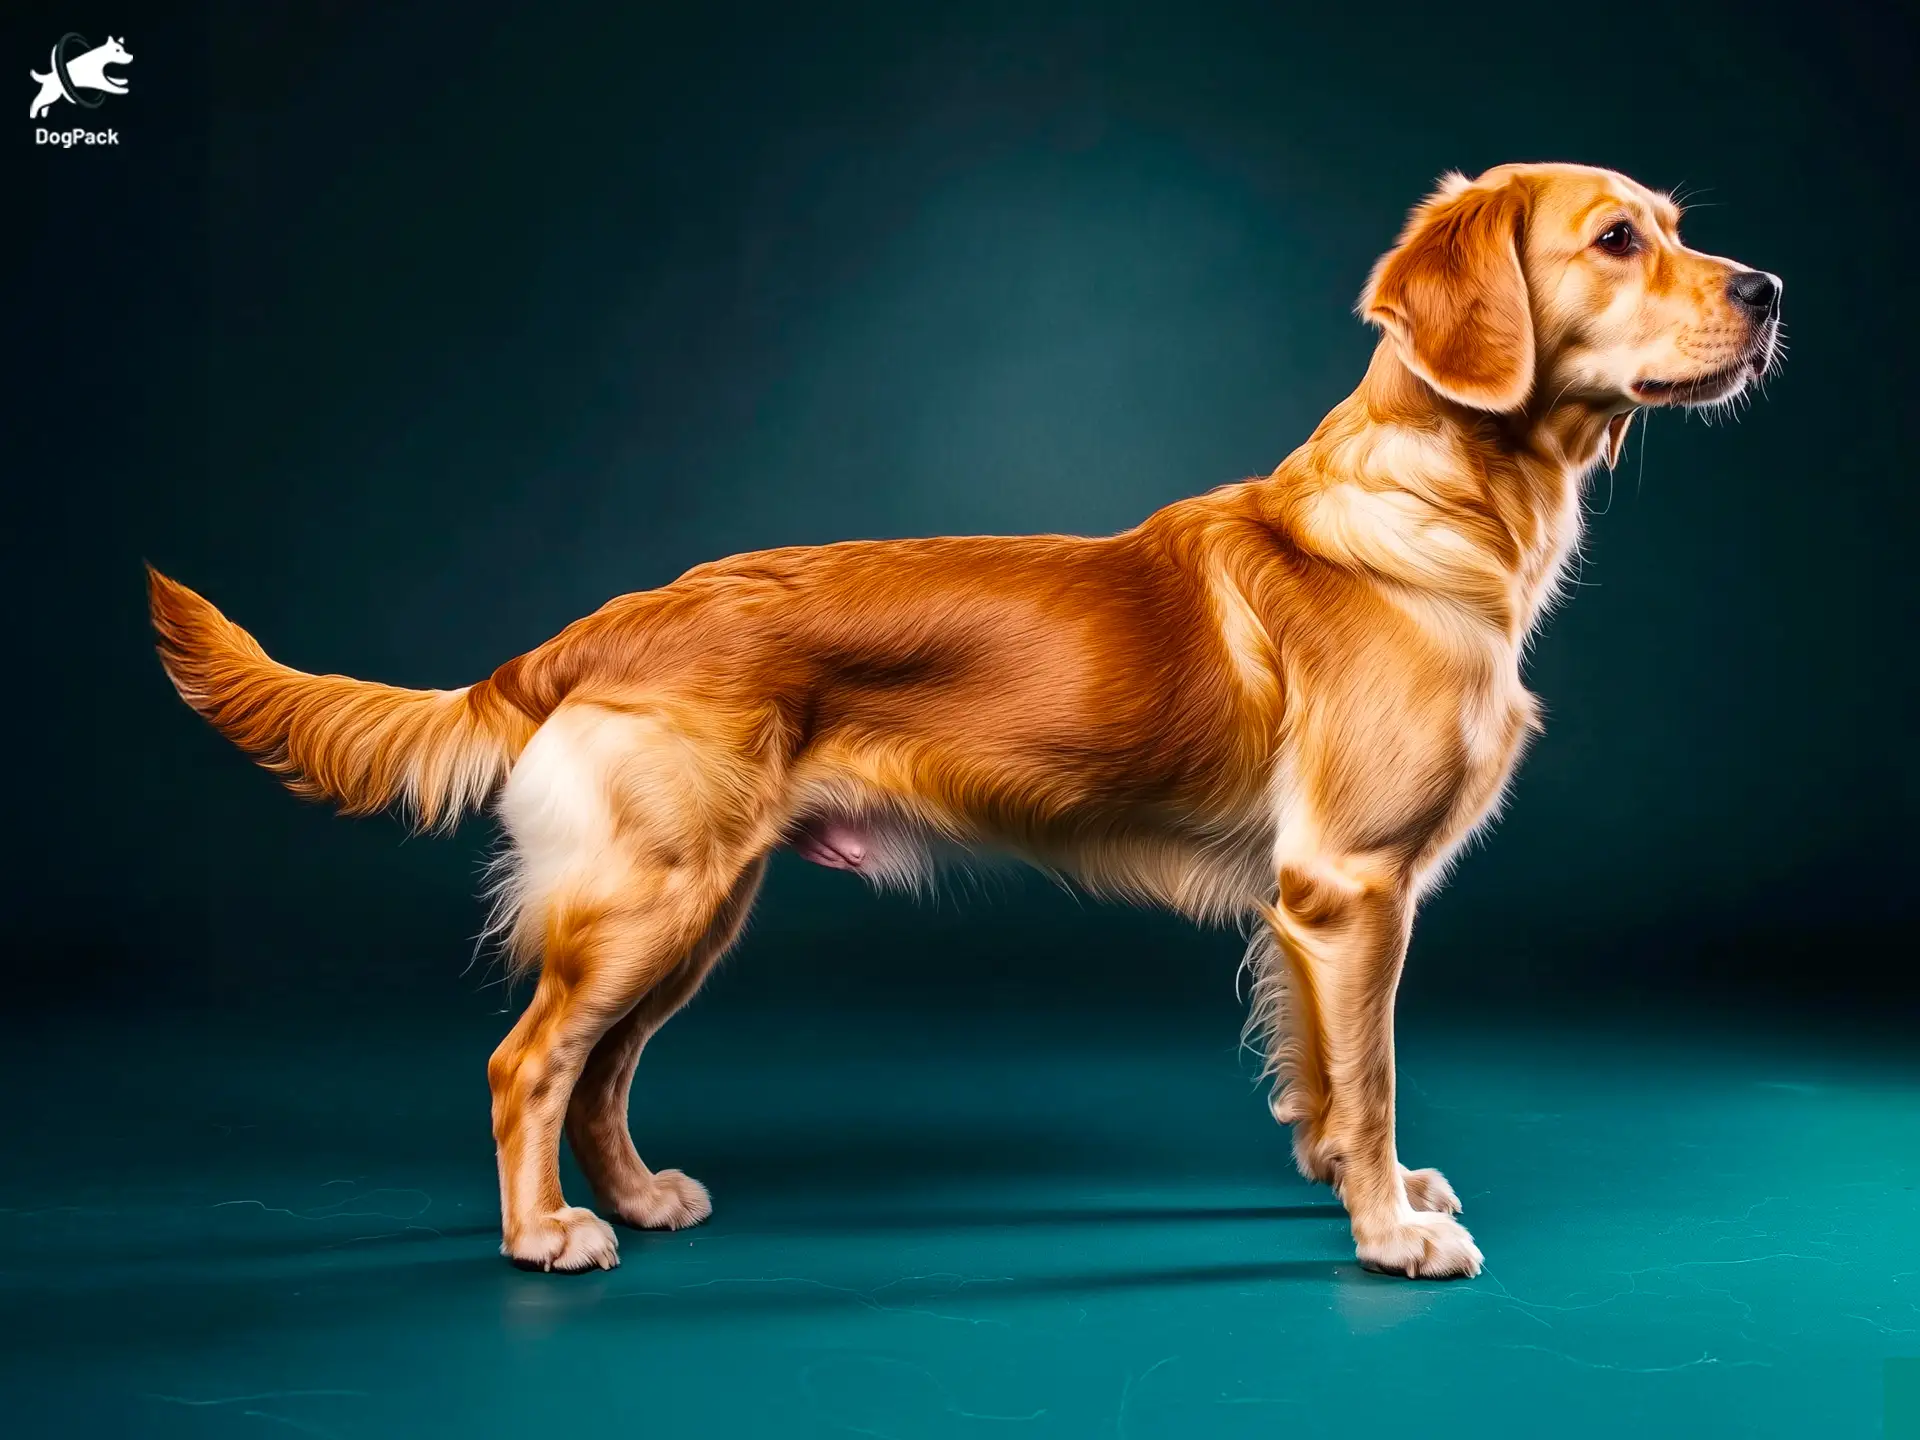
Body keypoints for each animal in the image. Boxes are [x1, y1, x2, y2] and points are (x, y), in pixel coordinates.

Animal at [149, 163, 1781, 1282]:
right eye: (1617, 238)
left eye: (1676, 221)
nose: (1770, 289)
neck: (1442, 505)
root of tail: (594, 626)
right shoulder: (1352, 886)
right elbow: (1369, 1074)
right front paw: (1388, 1229)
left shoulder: (1316, 906)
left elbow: (1323, 1071)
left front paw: (1341, 1180)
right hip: (649, 895)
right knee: (527, 1063)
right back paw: (547, 1233)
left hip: (701, 906)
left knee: (601, 1068)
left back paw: (638, 1197)